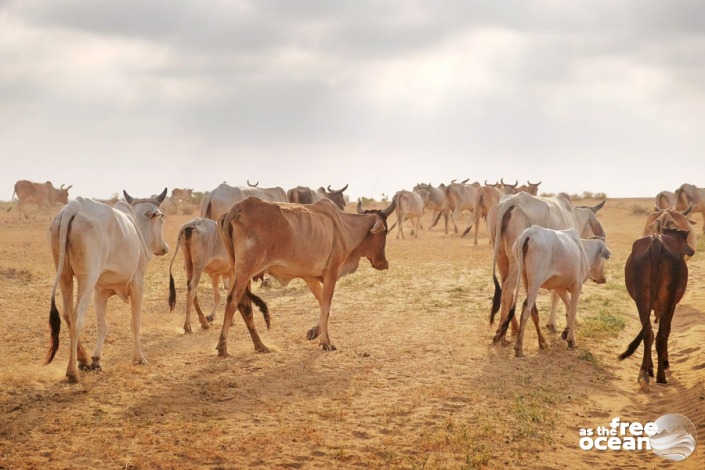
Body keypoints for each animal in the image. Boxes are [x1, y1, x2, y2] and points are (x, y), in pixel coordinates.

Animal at [45, 189, 169, 384]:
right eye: (162, 217)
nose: (165, 247)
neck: (137, 228)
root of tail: (73, 207)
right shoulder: (138, 283)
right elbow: (135, 322)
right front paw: (139, 357)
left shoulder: (100, 291)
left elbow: (102, 325)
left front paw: (96, 360)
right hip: (87, 278)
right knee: (77, 316)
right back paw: (72, 372)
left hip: (64, 274)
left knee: (67, 314)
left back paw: (83, 359)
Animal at [214, 196, 396, 354]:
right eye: (385, 231)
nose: (384, 263)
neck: (344, 227)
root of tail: (237, 208)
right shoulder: (332, 271)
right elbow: (326, 306)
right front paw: (326, 342)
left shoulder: (309, 276)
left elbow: (323, 304)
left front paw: (315, 332)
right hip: (245, 271)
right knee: (232, 301)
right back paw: (223, 346)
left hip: (239, 272)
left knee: (245, 305)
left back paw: (260, 345)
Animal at [500, 227, 612, 356]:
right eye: (604, 259)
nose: (603, 279)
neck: (583, 250)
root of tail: (529, 233)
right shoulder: (577, 286)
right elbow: (573, 311)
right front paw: (571, 340)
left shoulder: (560, 288)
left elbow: (568, 308)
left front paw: (566, 332)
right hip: (536, 282)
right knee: (526, 309)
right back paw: (519, 347)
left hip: (524, 278)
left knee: (533, 310)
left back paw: (542, 342)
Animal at [616, 229, 692, 392]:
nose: (691, 250)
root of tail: (656, 241)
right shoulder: (672, 305)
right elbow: (667, 331)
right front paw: (664, 360)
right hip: (666, 302)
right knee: (660, 336)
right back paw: (660, 376)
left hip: (642, 301)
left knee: (648, 333)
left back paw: (644, 373)